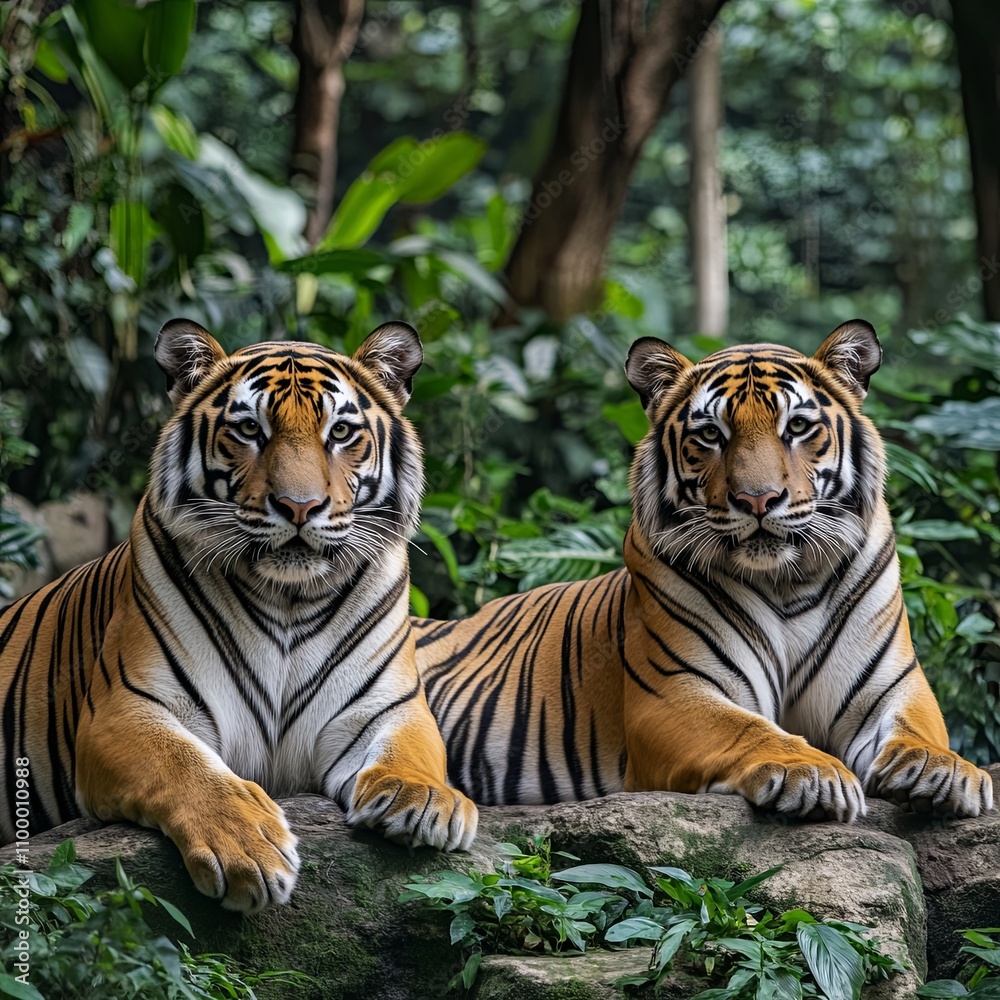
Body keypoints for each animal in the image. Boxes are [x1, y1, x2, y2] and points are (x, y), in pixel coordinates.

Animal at [0, 318, 477, 912]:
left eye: (341, 432)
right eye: (250, 429)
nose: (299, 507)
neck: (289, 598)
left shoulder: (386, 705)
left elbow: (410, 748)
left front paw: (423, 799)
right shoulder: (124, 710)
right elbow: (186, 767)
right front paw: (247, 849)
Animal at [415, 320, 993, 821]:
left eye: (798, 427)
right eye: (712, 434)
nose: (758, 500)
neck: (787, 582)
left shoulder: (890, 687)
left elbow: (920, 728)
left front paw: (945, 770)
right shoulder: (674, 693)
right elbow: (750, 730)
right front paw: (810, 770)